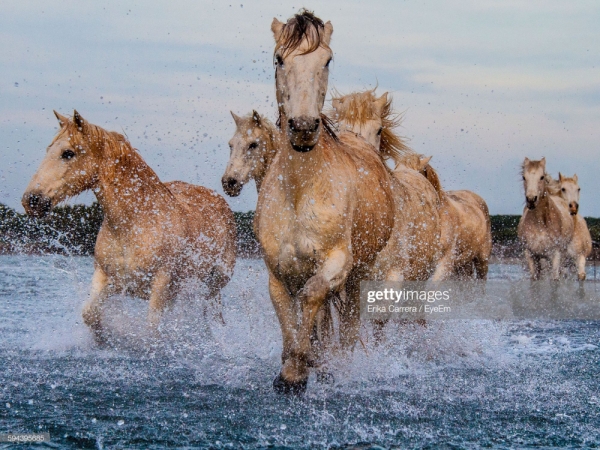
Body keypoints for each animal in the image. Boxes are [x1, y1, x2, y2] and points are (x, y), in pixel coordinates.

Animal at [22, 110, 237, 342]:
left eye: (68, 153)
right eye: (48, 149)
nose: (31, 200)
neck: (135, 223)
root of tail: (221, 202)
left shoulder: (161, 282)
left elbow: (152, 329)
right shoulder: (107, 277)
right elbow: (90, 313)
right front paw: (103, 339)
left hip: (214, 283)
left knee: (211, 313)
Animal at [255, 8, 396, 392]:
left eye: (327, 59)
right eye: (279, 58)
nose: (303, 127)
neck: (300, 191)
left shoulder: (338, 261)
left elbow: (313, 295)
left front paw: (298, 370)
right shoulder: (277, 270)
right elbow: (287, 309)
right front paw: (292, 364)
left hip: (360, 270)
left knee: (346, 318)